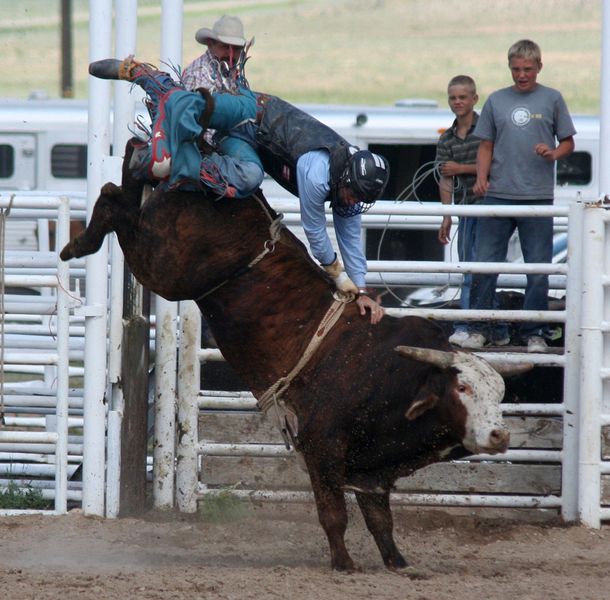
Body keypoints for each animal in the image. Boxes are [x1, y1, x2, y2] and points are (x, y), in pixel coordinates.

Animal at [61, 141, 516, 572]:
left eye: (498, 396)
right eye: (462, 388)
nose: (500, 435)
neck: (393, 376)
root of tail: (210, 156)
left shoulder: (373, 470)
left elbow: (381, 522)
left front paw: (398, 563)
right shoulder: (322, 448)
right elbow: (334, 515)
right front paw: (343, 563)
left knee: (128, 188)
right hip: (164, 266)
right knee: (113, 199)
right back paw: (81, 239)